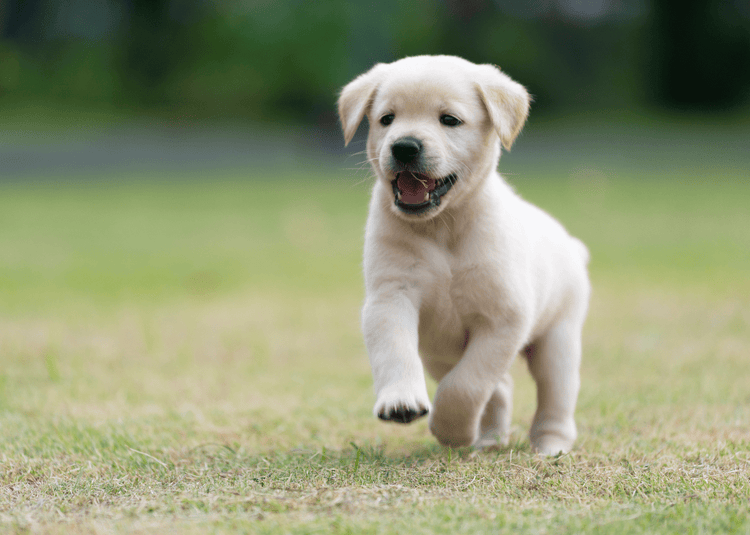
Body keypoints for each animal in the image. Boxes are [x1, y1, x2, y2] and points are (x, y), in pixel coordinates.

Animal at [338, 55, 592, 456]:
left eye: (450, 120)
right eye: (387, 119)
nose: (404, 146)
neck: (444, 228)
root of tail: (572, 246)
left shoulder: (503, 319)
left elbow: (466, 385)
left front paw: (451, 429)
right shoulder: (390, 296)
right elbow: (394, 351)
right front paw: (402, 401)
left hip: (559, 339)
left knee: (554, 395)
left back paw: (550, 445)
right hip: (438, 353)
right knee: (500, 388)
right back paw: (489, 438)